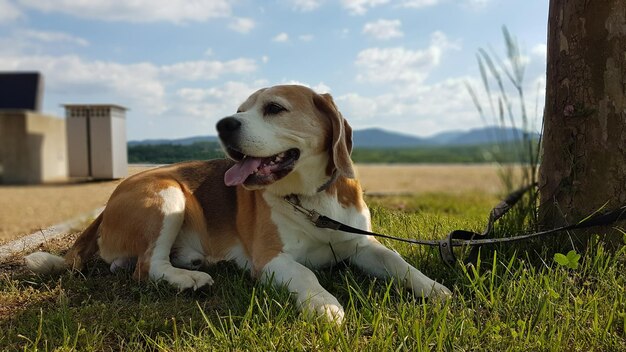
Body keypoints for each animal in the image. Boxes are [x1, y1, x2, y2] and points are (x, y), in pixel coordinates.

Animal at [24, 84, 448, 322]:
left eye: (274, 108)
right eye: (240, 110)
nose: (223, 124)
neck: (311, 197)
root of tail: (109, 201)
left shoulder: (361, 244)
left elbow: (399, 262)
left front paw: (434, 288)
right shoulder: (270, 260)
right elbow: (306, 274)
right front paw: (324, 304)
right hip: (168, 194)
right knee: (146, 267)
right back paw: (189, 278)